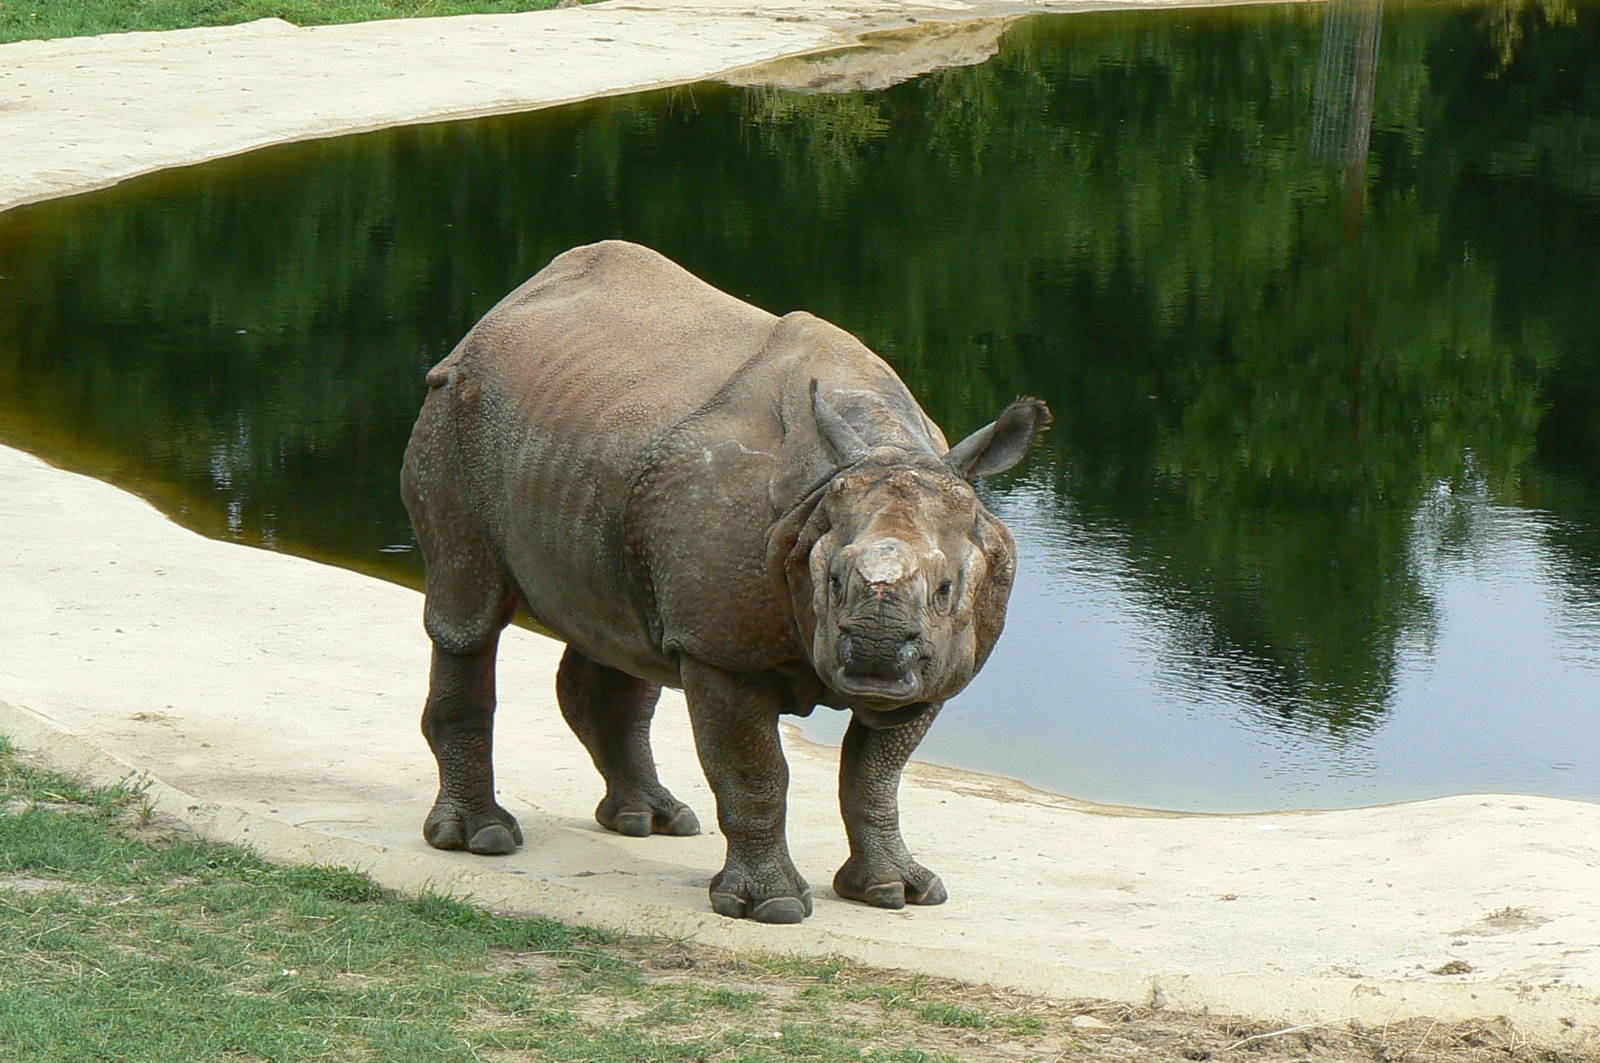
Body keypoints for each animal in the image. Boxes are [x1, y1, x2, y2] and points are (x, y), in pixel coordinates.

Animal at [400, 241, 1049, 924]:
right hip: (457, 412)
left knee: (621, 633)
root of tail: (495, 315)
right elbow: (755, 772)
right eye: (832, 579)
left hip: (590, 442)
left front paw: (896, 894)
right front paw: (774, 908)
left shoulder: (938, 668)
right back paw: (482, 839)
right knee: (469, 615)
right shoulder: (721, 649)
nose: (874, 655)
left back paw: (650, 821)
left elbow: (873, 778)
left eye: (948, 590)